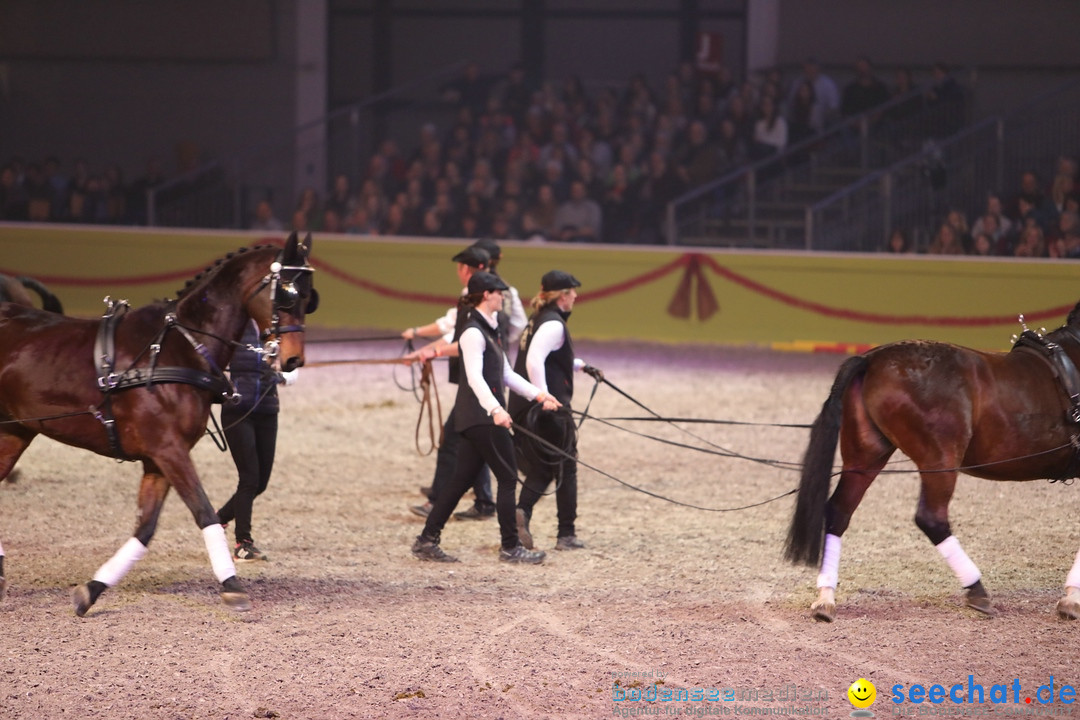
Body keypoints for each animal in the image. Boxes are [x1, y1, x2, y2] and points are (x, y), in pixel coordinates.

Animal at [0, 231, 317, 613]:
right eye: (287, 292)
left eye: (310, 296)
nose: (293, 359)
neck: (179, 348)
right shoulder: (168, 449)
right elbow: (204, 512)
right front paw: (231, 584)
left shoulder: (157, 460)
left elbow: (145, 528)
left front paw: (92, 589)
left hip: (14, 432)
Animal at [786, 302, 1080, 621]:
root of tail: (871, 359)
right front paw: (1072, 599)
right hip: (939, 461)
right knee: (931, 518)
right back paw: (977, 591)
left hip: (865, 457)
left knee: (838, 512)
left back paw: (826, 598)